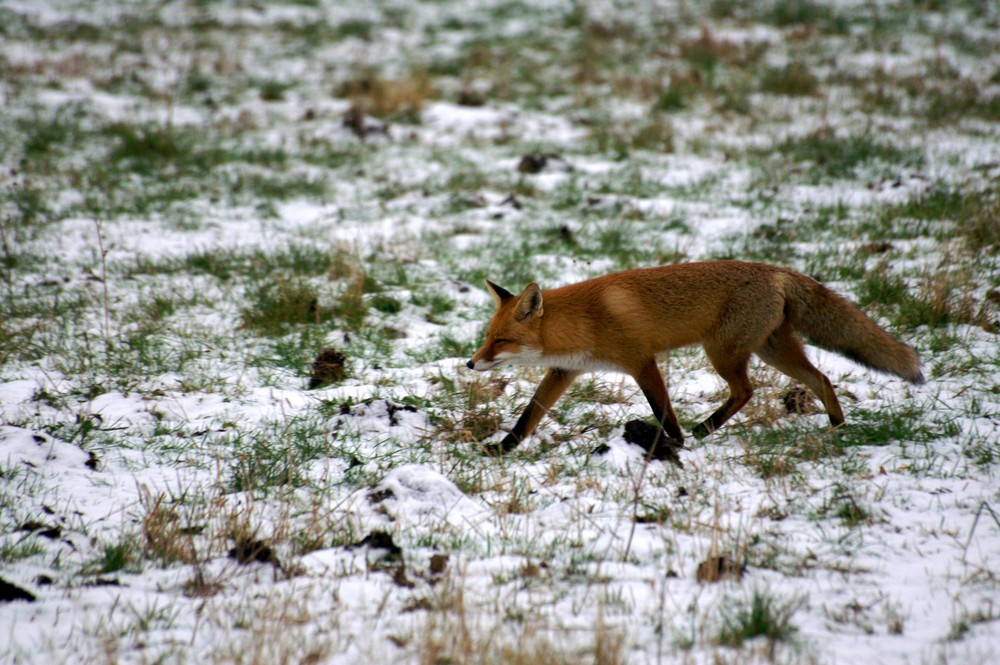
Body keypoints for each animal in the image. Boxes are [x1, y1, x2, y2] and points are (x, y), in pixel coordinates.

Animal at [466, 262, 920, 454]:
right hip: (773, 350)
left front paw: (674, 444)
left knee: (746, 390)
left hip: (723, 353)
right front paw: (502, 450)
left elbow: (663, 410)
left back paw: (704, 430)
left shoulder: (642, 361)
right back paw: (837, 428)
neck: (583, 322)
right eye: (486, 338)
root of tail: (775, 270)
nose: (470, 364)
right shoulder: (564, 372)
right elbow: (528, 417)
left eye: (501, 340)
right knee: (821, 379)